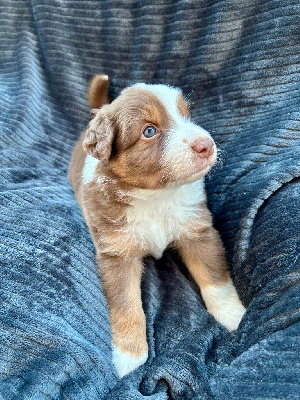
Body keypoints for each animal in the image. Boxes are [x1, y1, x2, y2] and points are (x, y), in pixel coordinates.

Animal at [68, 75, 246, 378]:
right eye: (149, 131)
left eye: (187, 116)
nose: (206, 144)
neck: (155, 198)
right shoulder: (116, 253)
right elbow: (127, 305)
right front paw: (129, 357)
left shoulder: (198, 231)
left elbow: (215, 279)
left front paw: (233, 315)